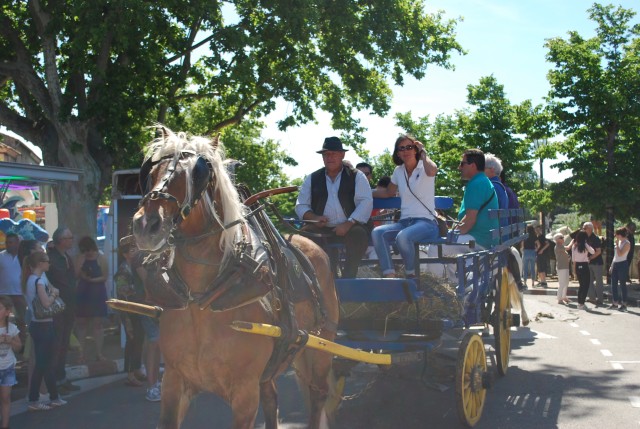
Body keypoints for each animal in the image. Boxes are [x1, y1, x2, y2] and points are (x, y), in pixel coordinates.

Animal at [131, 128, 340, 428]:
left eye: (198, 172)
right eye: (151, 168)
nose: (147, 225)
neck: (201, 299)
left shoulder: (244, 392)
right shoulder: (174, 380)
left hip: (320, 348)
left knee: (317, 395)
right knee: (273, 398)